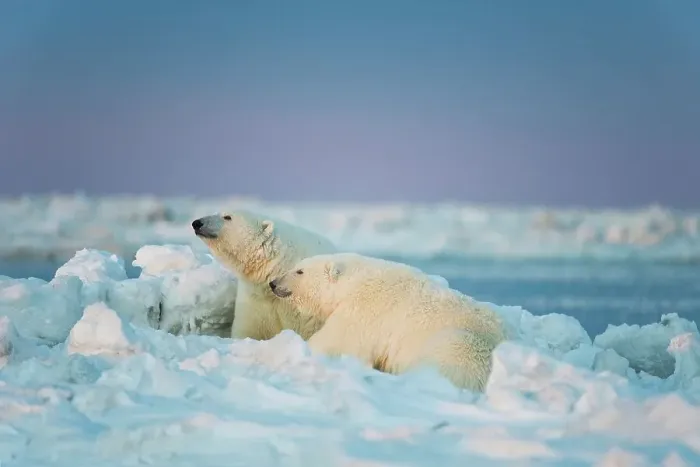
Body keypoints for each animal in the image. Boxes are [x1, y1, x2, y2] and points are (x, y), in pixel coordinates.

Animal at [268, 252, 507, 392]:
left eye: (299, 271)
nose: (273, 283)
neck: (354, 281)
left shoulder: (364, 309)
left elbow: (338, 341)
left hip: (463, 347)